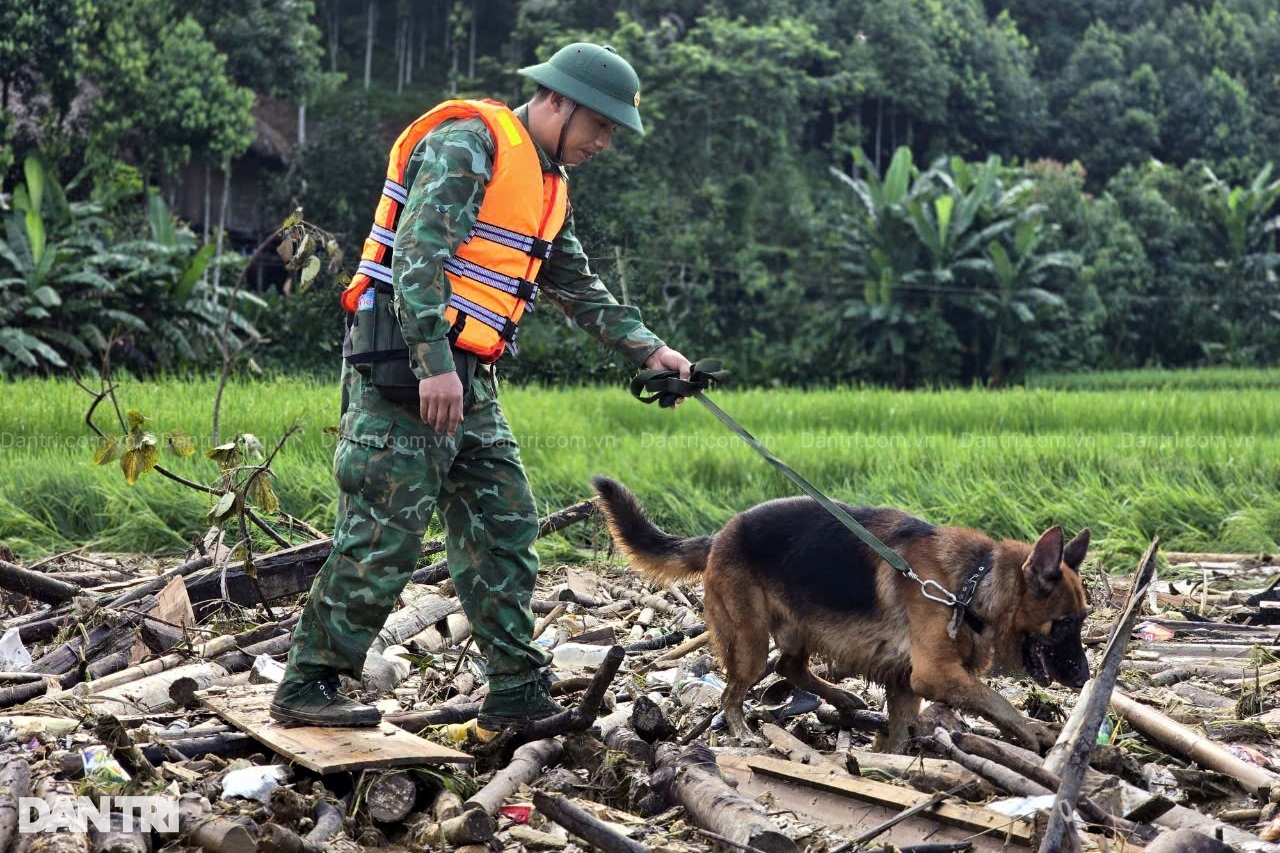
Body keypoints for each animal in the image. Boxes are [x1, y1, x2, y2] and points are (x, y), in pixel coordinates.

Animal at [588, 473, 1090, 747]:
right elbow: (997, 701)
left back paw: (842, 698)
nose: (1085, 678)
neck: (969, 585)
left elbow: (904, 731)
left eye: (1083, 621)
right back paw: (742, 731)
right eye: (1065, 623)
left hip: (797, 627)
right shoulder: (935, 675)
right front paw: (1033, 732)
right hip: (749, 642)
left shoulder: (906, 682)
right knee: (733, 692)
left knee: (789, 667)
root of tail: (720, 535)